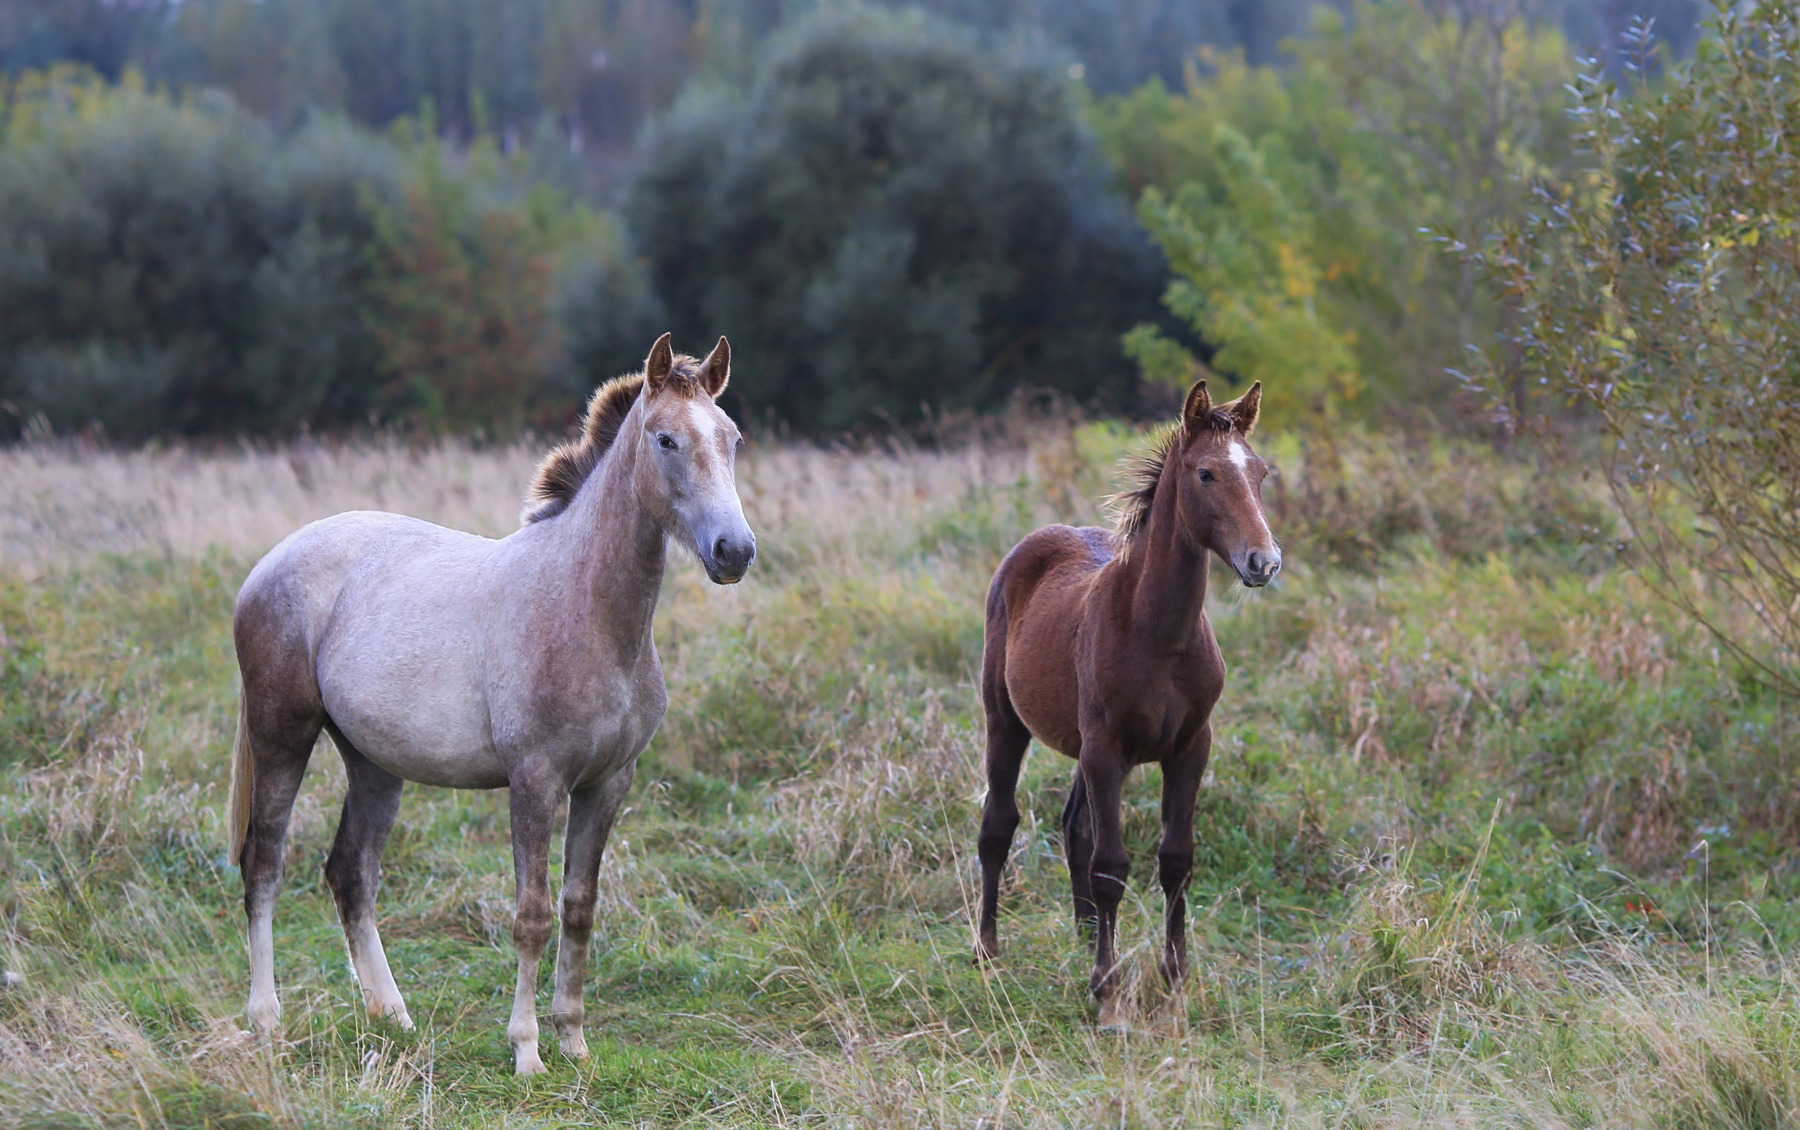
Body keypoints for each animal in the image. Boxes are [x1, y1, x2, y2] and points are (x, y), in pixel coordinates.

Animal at [972, 377, 1281, 1022]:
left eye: (1261, 472)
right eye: (1206, 473)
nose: (1264, 562)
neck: (1157, 633)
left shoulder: (1190, 749)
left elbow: (1176, 860)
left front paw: (1175, 978)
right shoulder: (1107, 751)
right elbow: (1111, 866)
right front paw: (1107, 992)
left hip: (1078, 743)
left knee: (1074, 828)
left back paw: (1086, 936)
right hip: (1006, 720)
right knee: (999, 822)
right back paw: (988, 950)